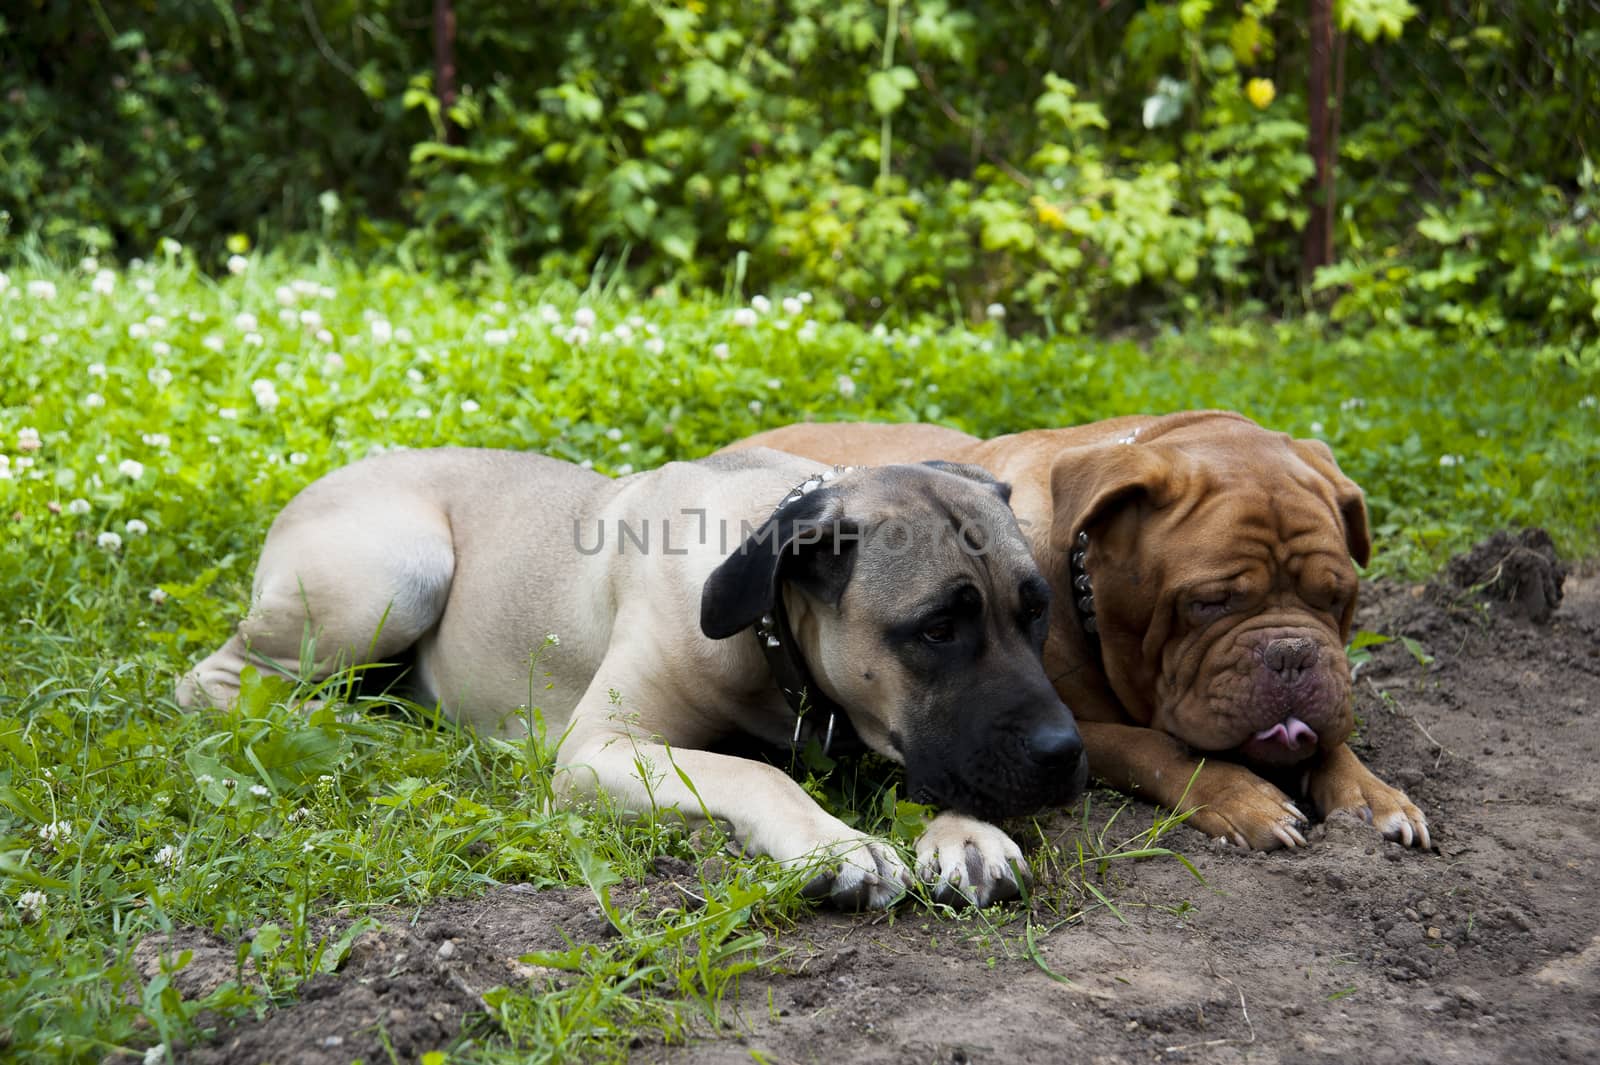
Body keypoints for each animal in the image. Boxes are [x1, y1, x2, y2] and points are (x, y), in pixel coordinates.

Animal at [726, 409, 1427, 850]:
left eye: (1338, 599)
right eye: (1207, 603)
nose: (1290, 653)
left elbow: (1333, 738)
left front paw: (1371, 791)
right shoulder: (1068, 725)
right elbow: (1155, 746)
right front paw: (1239, 795)